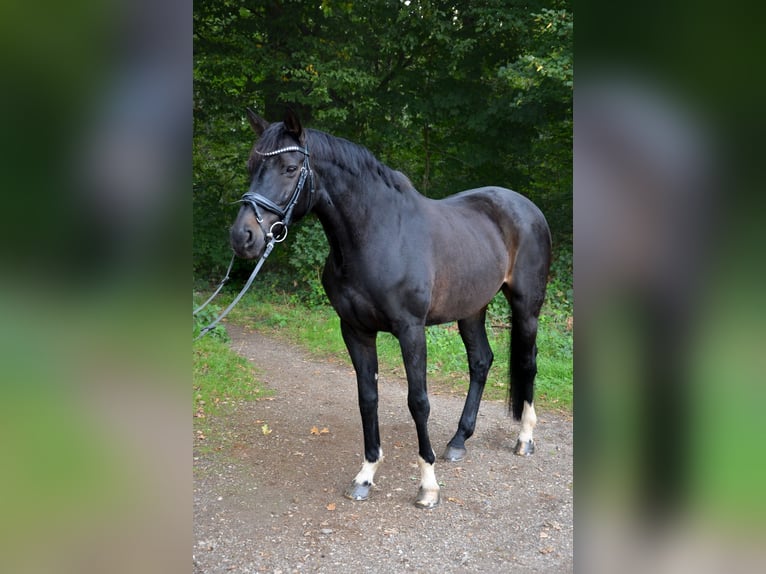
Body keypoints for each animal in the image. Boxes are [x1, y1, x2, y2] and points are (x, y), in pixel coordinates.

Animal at [230, 110, 552, 510]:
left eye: (290, 168)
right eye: (251, 166)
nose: (242, 237)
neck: (376, 235)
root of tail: (527, 208)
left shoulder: (410, 329)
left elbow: (419, 402)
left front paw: (428, 486)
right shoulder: (354, 330)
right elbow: (368, 398)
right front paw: (366, 475)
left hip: (526, 306)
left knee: (527, 362)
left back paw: (524, 439)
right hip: (471, 308)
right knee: (481, 362)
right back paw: (459, 440)